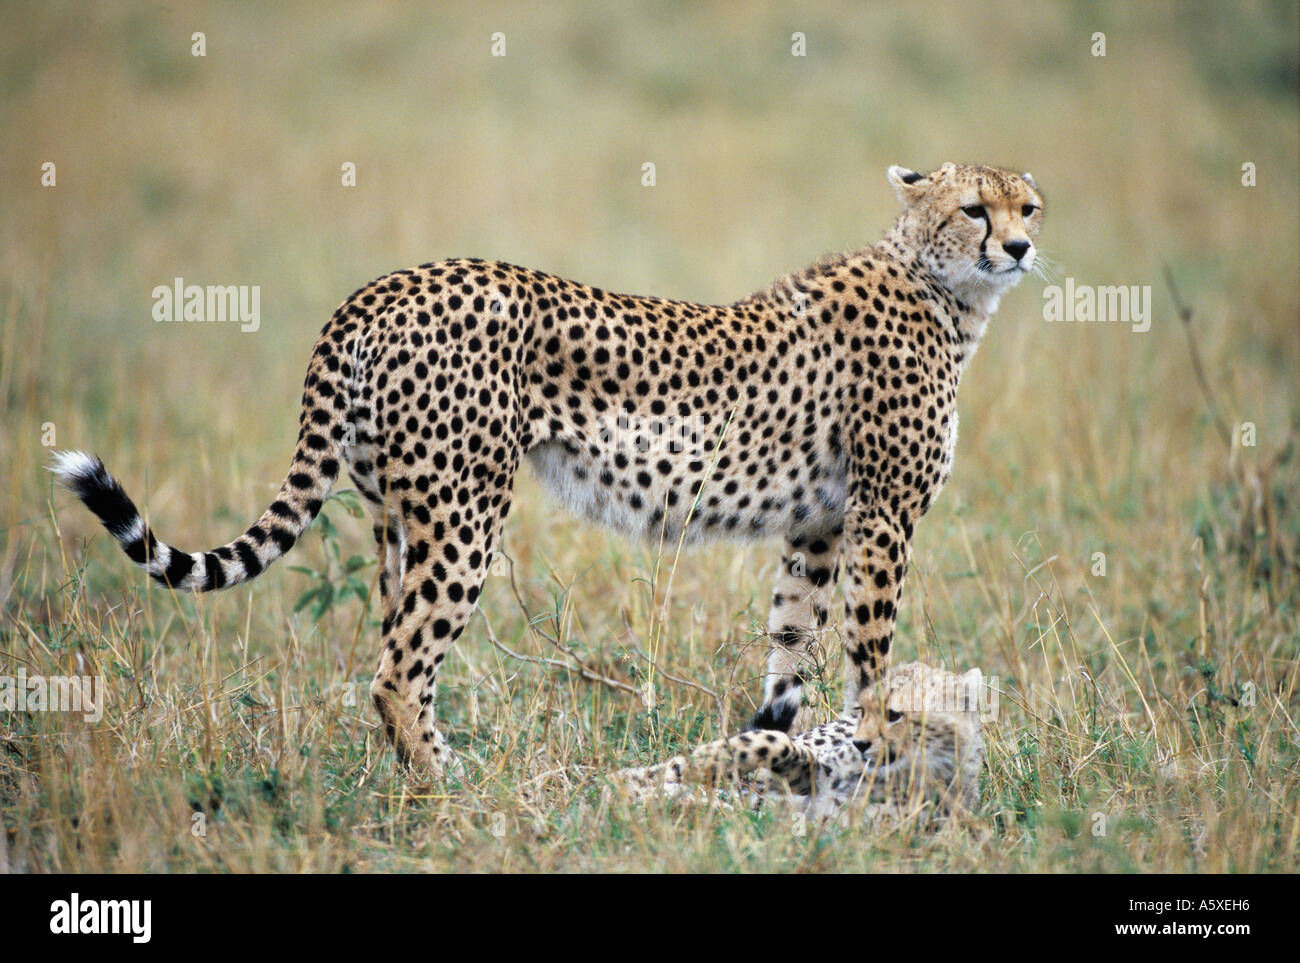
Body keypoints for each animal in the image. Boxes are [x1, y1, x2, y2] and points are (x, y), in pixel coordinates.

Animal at [51, 162, 1041, 776]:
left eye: (1026, 206)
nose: (1021, 248)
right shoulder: (883, 516)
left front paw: (776, 748)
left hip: (394, 515)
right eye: (973, 208)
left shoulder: (819, 525)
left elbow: (791, 647)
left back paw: (414, 778)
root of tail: (379, 286)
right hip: (463, 515)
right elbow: (873, 651)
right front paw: (877, 749)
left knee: (392, 650)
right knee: (398, 668)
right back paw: (454, 789)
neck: (941, 286)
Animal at [610, 662, 986, 822]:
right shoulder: (815, 776)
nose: (860, 743)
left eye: (895, 714)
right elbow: (775, 743)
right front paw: (708, 758)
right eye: (864, 710)